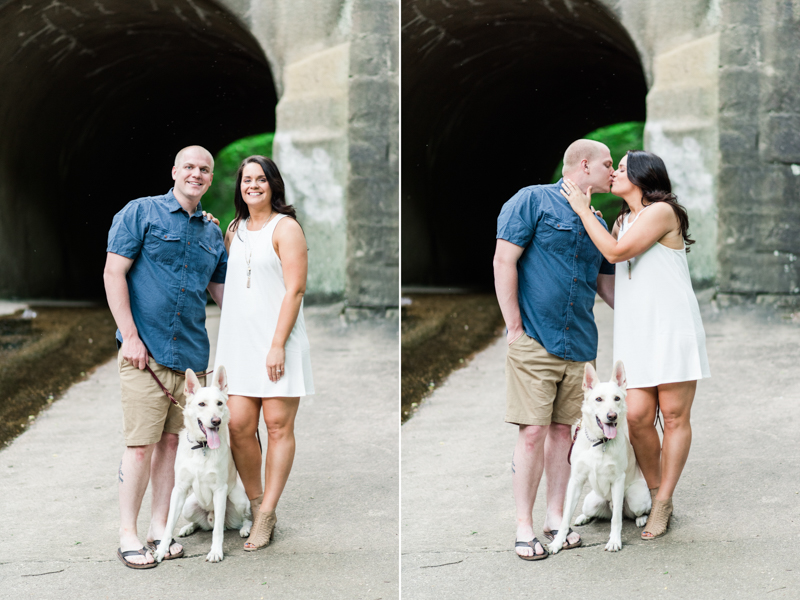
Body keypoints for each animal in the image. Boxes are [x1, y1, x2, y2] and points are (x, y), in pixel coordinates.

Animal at [154, 364, 252, 564]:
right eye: (202, 404)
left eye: (219, 403)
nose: (216, 421)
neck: (202, 447)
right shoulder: (179, 489)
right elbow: (168, 526)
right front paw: (161, 550)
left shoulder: (220, 490)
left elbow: (217, 532)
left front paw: (215, 552)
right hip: (187, 506)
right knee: (200, 524)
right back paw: (188, 528)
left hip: (236, 497)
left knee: (244, 518)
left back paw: (245, 529)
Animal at [548, 360, 652, 552]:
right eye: (598, 399)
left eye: (617, 398)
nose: (612, 416)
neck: (599, 442)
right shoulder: (576, 480)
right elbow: (565, 518)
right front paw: (558, 542)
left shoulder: (618, 480)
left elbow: (616, 519)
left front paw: (614, 541)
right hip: (591, 501)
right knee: (593, 512)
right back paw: (583, 517)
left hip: (635, 497)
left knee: (634, 512)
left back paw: (642, 519)